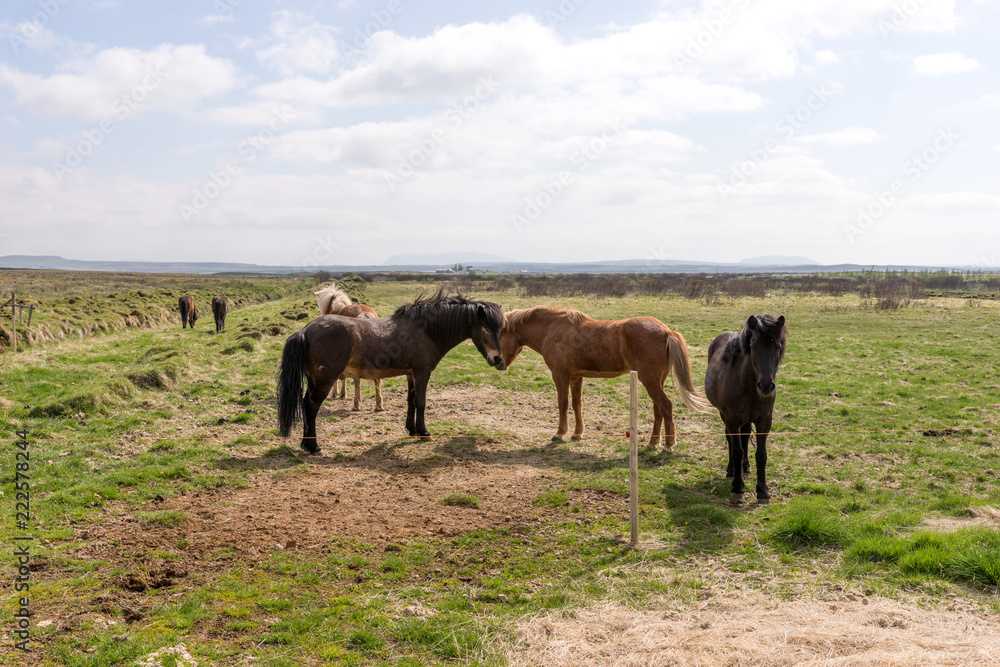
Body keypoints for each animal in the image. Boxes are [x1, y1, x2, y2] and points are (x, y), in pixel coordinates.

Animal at [278, 290, 507, 454]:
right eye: (486, 328)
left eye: (501, 329)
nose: (498, 359)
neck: (425, 330)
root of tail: (305, 330)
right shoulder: (422, 372)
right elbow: (421, 402)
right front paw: (424, 432)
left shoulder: (411, 373)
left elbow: (411, 401)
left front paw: (412, 430)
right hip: (325, 380)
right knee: (311, 407)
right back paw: (313, 446)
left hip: (313, 380)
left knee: (305, 404)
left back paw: (305, 444)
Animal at [500, 306, 711, 448]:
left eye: (499, 336)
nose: (498, 362)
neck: (553, 329)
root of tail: (666, 331)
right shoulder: (576, 377)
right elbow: (577, 404)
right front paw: (577, 433)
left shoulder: (560, 375)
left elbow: (563, 404)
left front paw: (560, 433)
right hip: (657, 381)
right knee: (658, 408)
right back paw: (653, 443)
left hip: (649, 380)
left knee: (666, 405)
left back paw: (668, 444)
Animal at [705, 315, 787, 504]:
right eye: (754, 345)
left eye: (778, 347)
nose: (766, 386)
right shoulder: (732, 419)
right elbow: (736, 451)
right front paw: (737, 488)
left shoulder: (764, 420)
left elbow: (761, 455)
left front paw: (763, 491)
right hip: (724, 415)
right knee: (730, 439)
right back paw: (732, 470)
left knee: (745, 436)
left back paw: (746, 467)